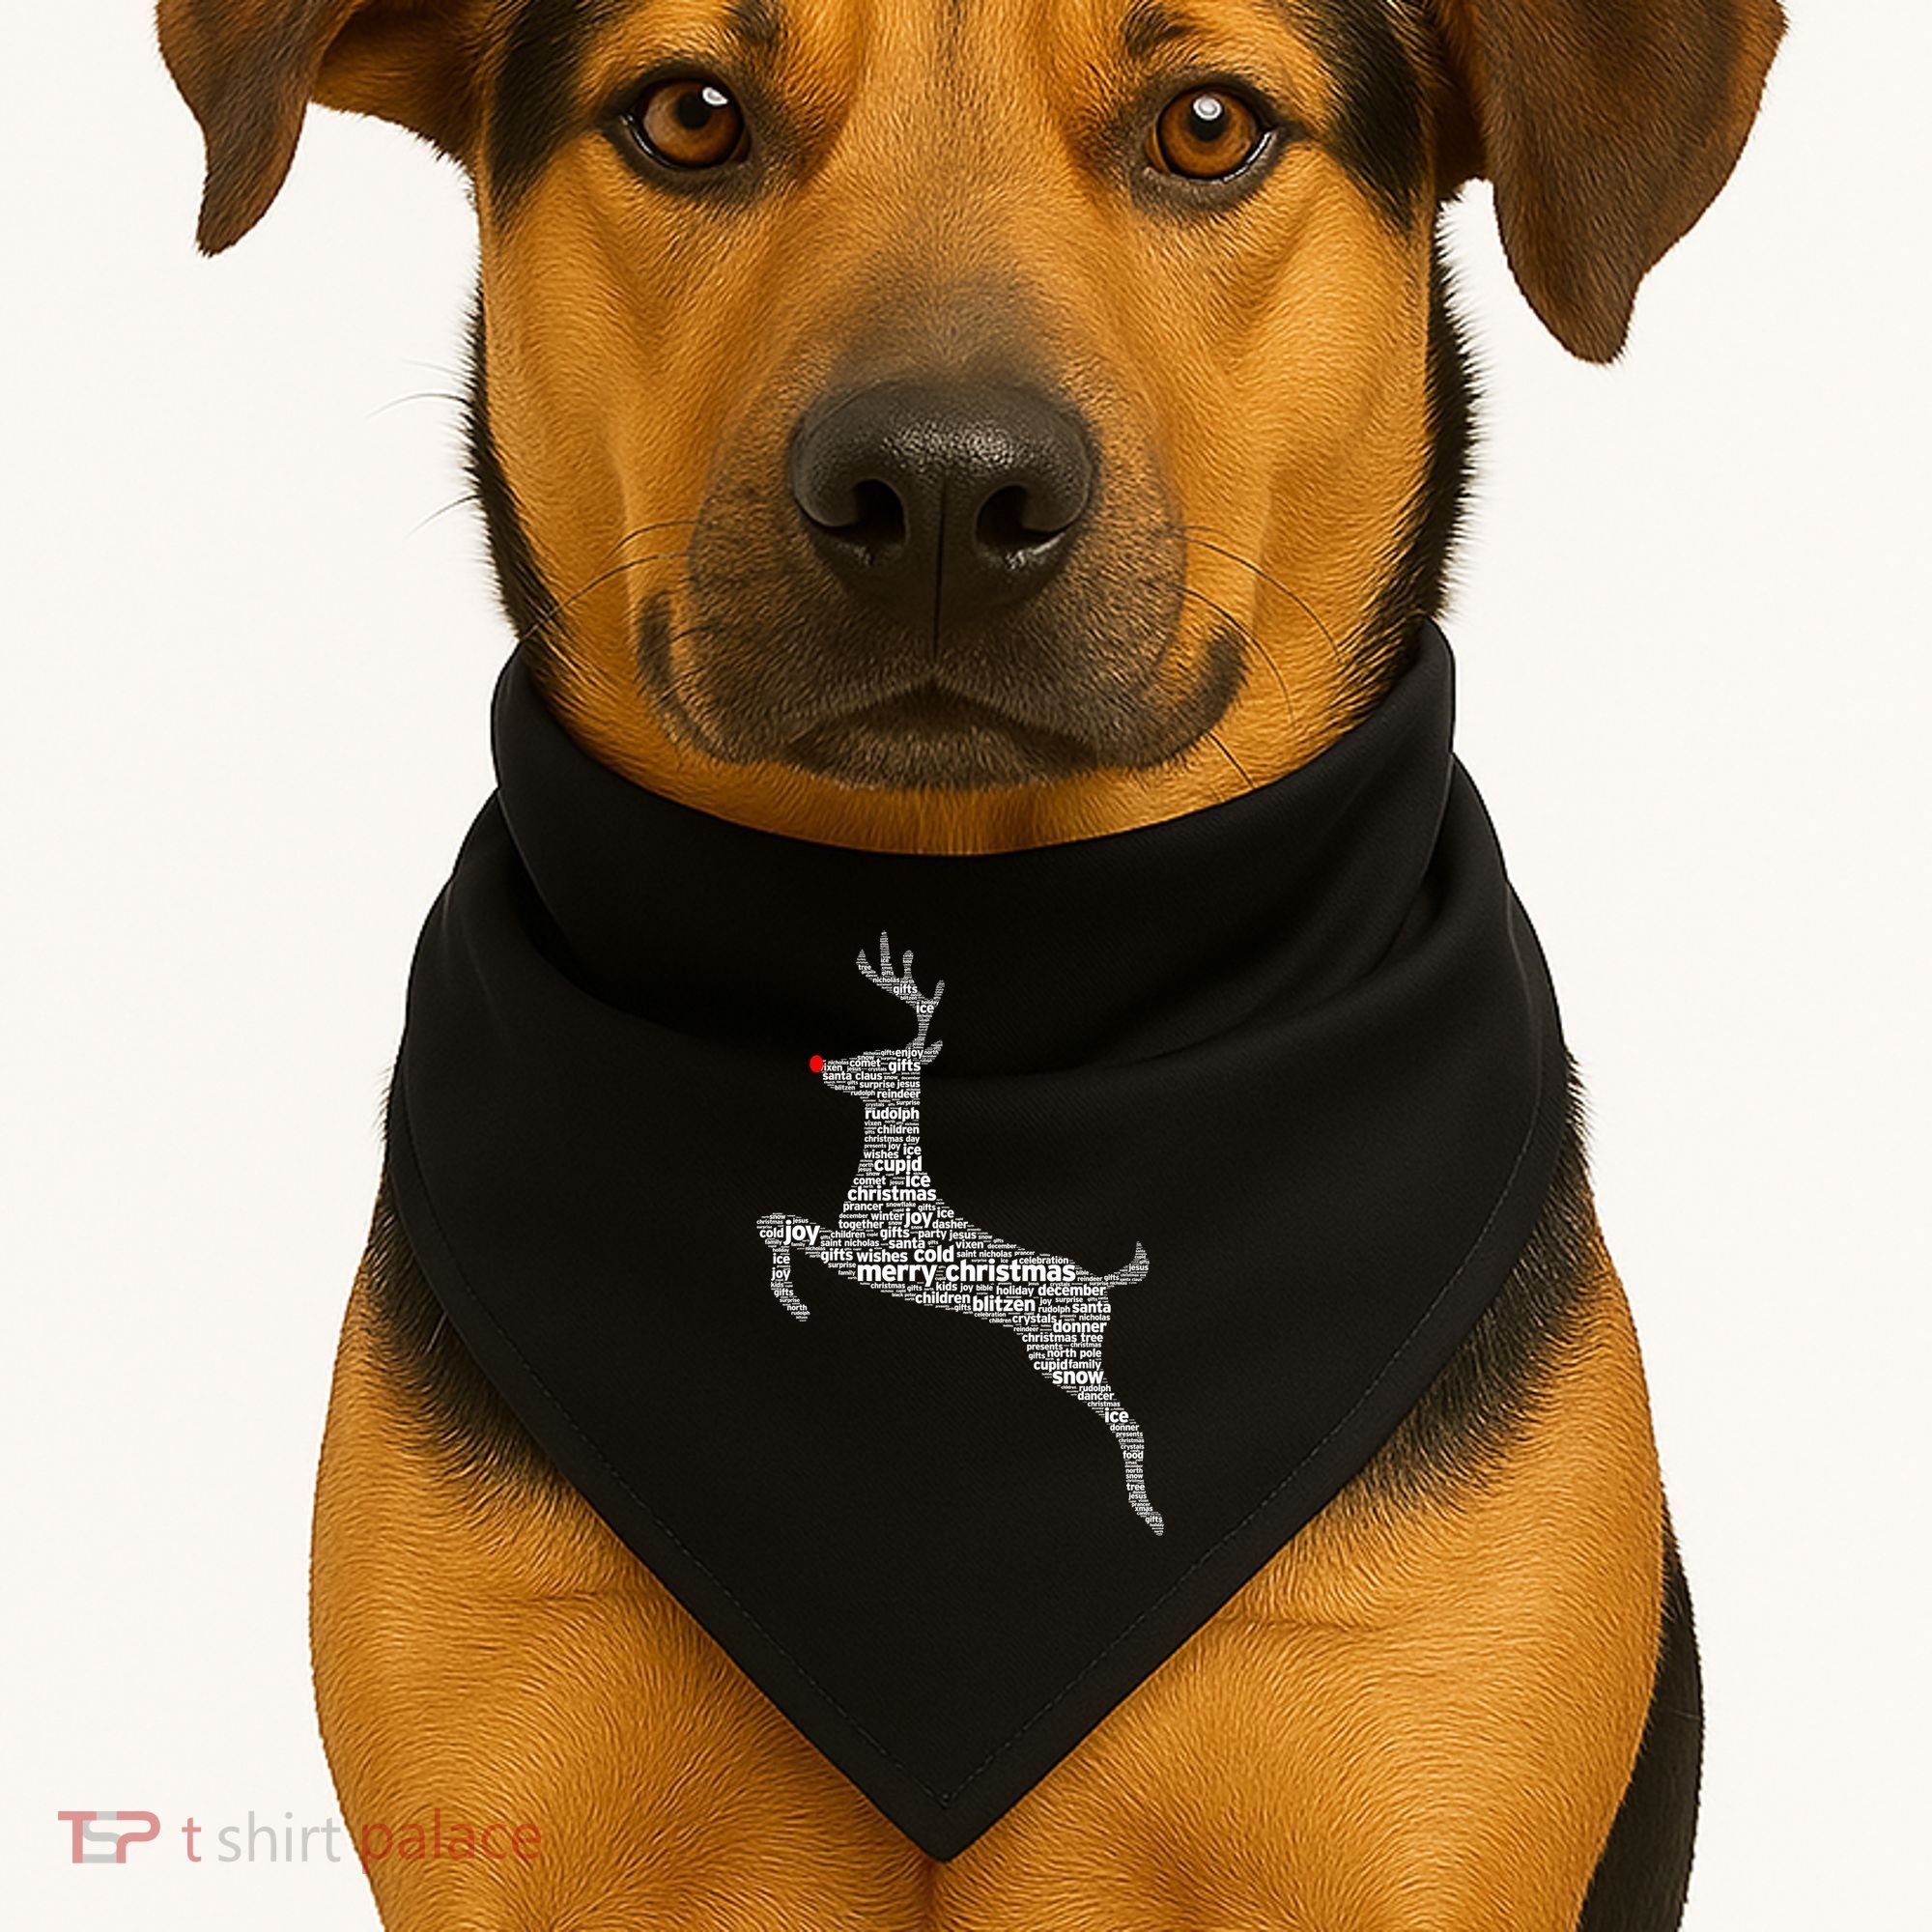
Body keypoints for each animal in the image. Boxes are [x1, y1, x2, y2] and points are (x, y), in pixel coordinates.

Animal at [758, 935, 1163, 1534]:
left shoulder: (865, 1257)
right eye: (868, 1049)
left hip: (1066, 1352)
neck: (888, 1185)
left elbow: (778, 1225)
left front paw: (793, 1303)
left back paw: (1149, 1515)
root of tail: (1108, 1284)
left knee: (1129, 1421)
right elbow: (774, 1222)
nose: (822, 1063)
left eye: (884, 1062)